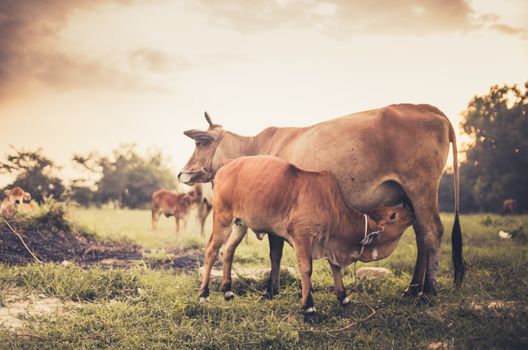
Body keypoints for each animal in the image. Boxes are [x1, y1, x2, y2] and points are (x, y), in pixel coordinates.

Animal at [180, 104, 462, 298]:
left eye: (199, 143)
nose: (182, 173)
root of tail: (426, 107)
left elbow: (275, 253)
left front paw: (271, 291)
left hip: (421, 188)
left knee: (432, 232)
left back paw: (426, 292)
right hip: (410, 198)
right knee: (421, 235)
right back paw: (412, 288)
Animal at [196, 156, 414, 320]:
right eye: (393, 215)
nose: (410, 209)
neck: (332, 206)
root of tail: (224, 167)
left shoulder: (329, 243)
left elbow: (335, 268)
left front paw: (343, 297)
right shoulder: (302, 238)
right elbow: (307, 270)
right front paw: (309, 307)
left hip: (240, 224)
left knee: (228, 251)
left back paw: (227, 291)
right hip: (222, 218)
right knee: (212, 250)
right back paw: (204, 294)